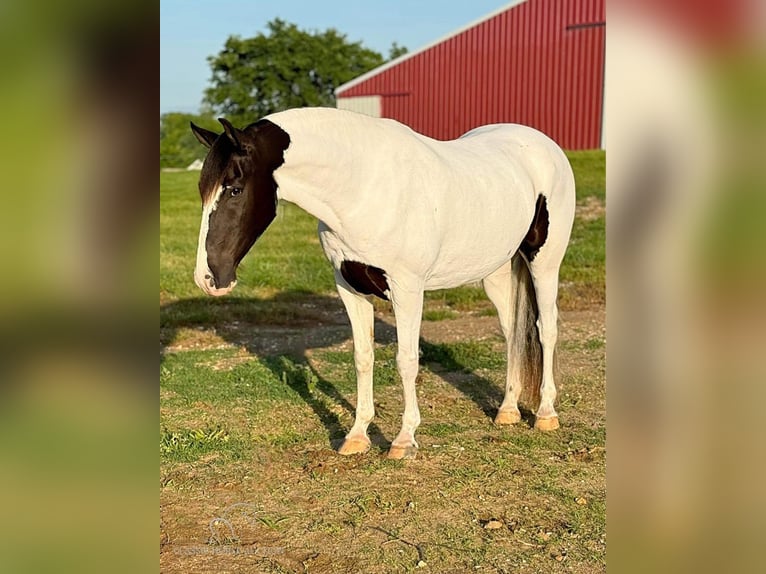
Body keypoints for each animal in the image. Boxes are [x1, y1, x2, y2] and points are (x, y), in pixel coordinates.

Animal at [190, 107, 576, 460]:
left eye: (235, 189)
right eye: (202, 190)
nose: (208, 278)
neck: (363, 187)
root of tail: (544, 146)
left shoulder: (407, 290)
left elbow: (407, 361)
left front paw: (404, 441)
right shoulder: (349, 289)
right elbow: (363, 358)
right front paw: (357, 436)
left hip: (544, 264)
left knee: (546, 330)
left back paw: (545, 414)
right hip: (495, 272)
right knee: (512, 332)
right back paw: (508, 410)